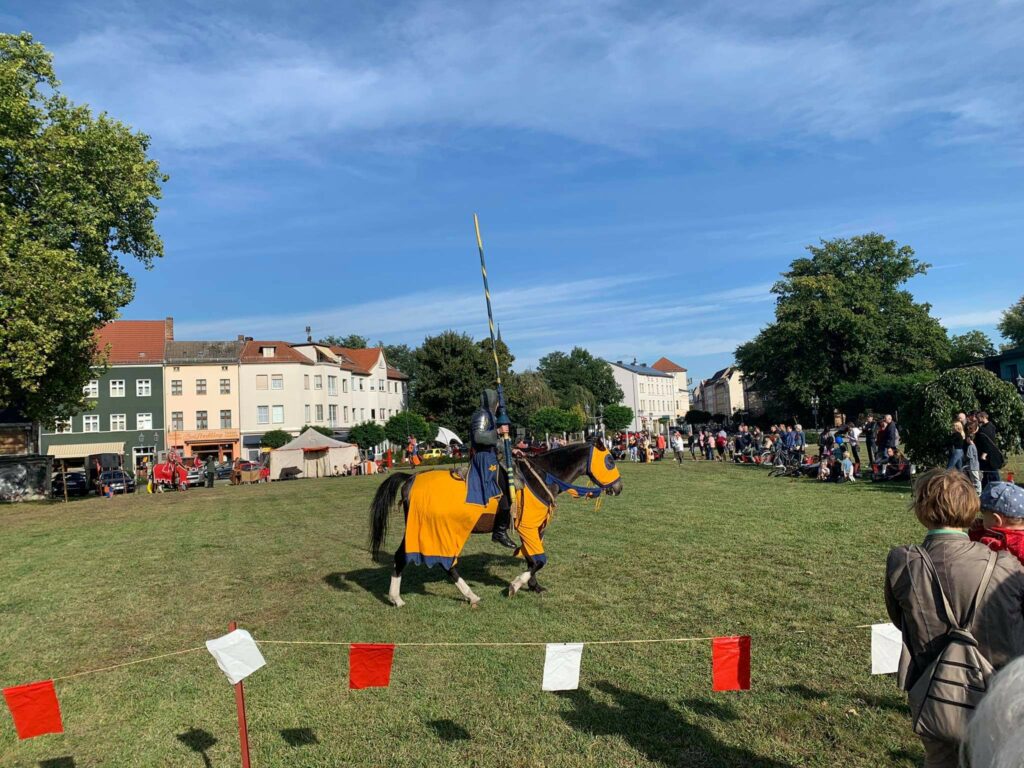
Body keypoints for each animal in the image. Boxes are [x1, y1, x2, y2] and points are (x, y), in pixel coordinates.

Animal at [368, 438, 622, 606]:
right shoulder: (528, 527)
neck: (542, 476)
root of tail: (411, 479)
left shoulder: (531, 529)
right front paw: (515, 585)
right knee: (436, 562)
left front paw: (534, 586)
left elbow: (531, 558)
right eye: (610, 460)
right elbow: (539, 560)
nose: (619, 488)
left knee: (422, 560)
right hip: (437, 529)